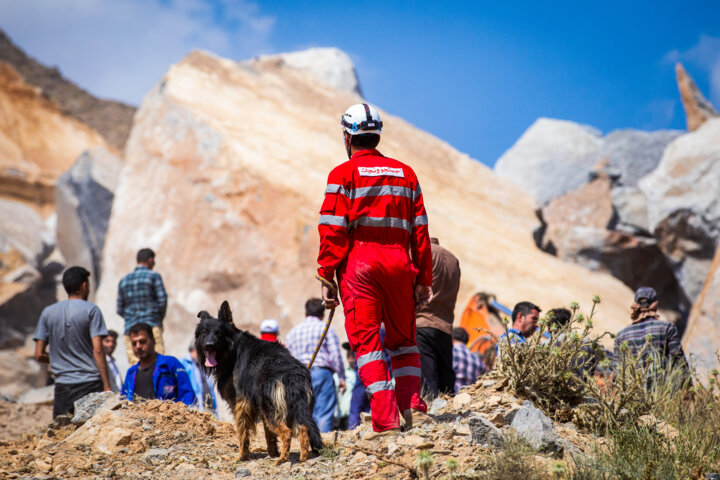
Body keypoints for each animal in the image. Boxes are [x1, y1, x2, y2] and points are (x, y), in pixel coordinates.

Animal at [195, 302, 322, 464]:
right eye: (204, 332)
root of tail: (291, 374)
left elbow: (243, 433)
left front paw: (241, 457)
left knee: (287, 432)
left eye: (218, 333)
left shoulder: (240, 404)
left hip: (271, 409)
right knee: (303, 428)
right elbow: (269, 435)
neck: (232, 350)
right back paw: (302, 457)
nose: (209, 345)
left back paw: (282, 459)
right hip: (292, 408)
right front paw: (272, 452)